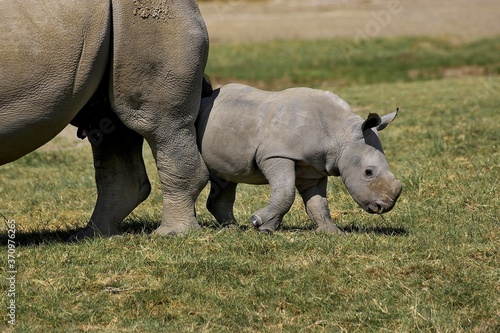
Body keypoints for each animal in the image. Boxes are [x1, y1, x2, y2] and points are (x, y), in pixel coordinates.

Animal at [196, 83, 402, 233]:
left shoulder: (315, 168)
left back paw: (232, 228)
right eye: (368, 172)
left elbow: (318, 202)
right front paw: (260, 224)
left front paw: (331, 232)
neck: (340, 133)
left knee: (226, 177)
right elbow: (286, 192)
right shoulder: (277, 154)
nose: (384, 206)